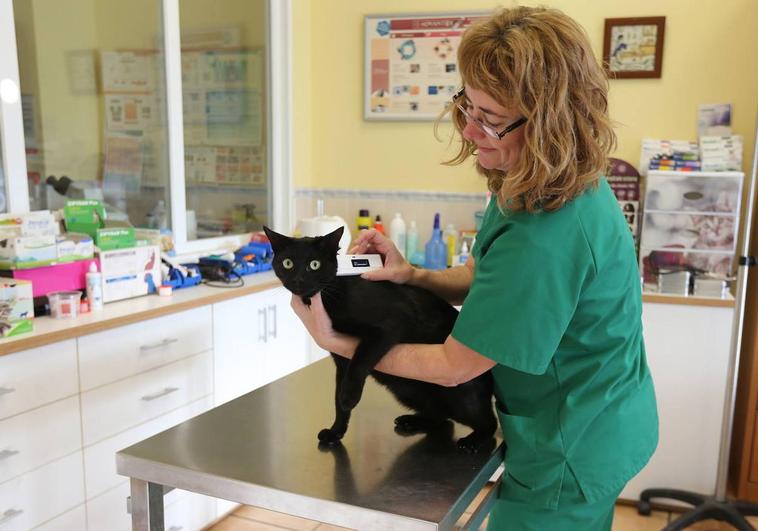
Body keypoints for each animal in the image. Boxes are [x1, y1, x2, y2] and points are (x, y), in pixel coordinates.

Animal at [262, 224, 498, 454]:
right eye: (288, 263)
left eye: (314, 265)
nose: (299, 280)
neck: (333, 293)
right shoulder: (341, 359)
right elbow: (337, 400)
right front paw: (336, 431)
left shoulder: (391, 325)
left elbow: (359, 364)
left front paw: (350, 398)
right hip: (406, 389)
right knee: (440, 416)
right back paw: (412, 421)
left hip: (459, 393)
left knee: (488, 423)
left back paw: (473, 440)